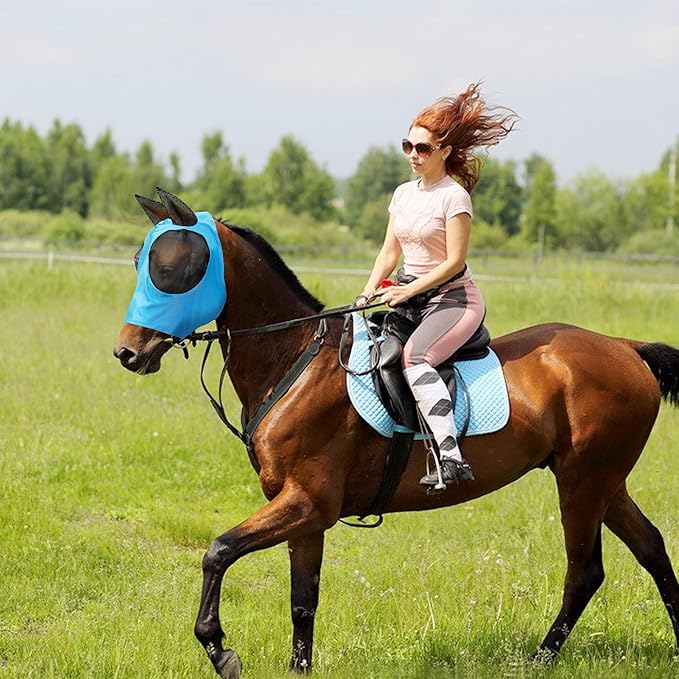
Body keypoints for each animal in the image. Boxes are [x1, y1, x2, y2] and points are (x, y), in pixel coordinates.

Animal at [114, 190, 676, 679]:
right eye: (141, 260)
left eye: (171, 270)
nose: (127, 352)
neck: (294, 359)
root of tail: (625, 347)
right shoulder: (304, 512)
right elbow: (302, 601)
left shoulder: (307, 503)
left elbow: (218, 551)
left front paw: (219, 648)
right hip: (604, 482)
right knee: (650, 546)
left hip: (583, 483)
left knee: (585, 570)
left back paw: (538, 660)